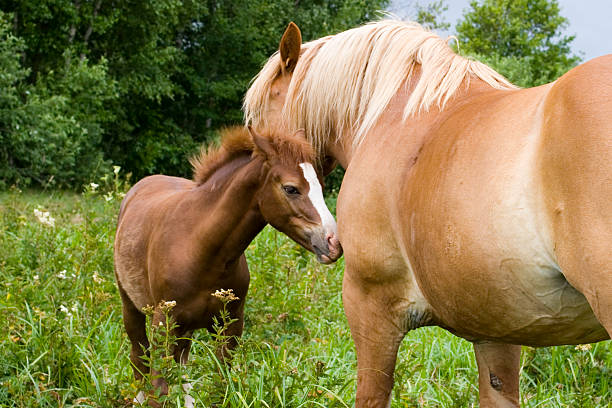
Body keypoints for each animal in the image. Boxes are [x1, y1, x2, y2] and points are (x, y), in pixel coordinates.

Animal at [113, 125, 342, 404]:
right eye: (291, 189)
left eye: (321, 186)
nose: (333, 243)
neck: (200, 248)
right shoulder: (163, 322)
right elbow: (159, 389)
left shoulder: (230, 325)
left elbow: (221, 387)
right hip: (132, 306)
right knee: (139, 357)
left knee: (181, 366)